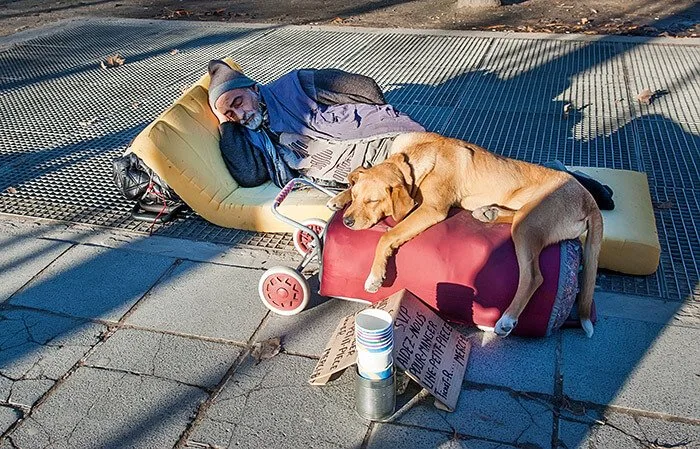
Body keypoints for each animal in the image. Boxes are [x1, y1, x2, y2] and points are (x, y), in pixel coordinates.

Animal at [328, 131, 600, 338]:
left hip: (528, 225)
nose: (347, 221)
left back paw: (506, 320)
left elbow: (387, 236)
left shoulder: (431, 209)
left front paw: (375, 276)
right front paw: (339, 197)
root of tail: (590, 200)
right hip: (523, 216)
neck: (413, 159)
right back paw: (488, 212)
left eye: (373, 201)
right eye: (356, 197)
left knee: (533, 277)